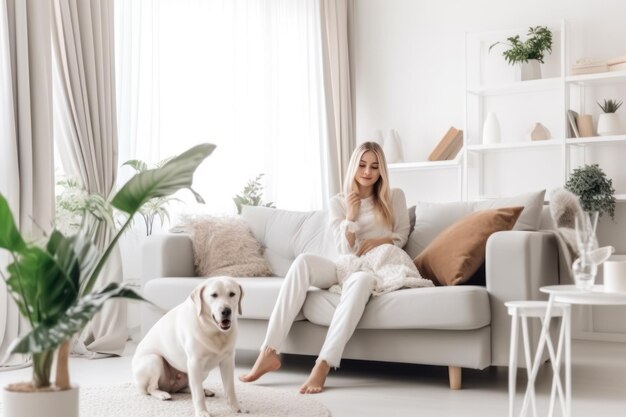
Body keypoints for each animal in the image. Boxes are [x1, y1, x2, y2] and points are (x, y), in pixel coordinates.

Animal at [132, 276, 246, 416]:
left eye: (232, 294)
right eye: (214, 295)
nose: (226, 311)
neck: (213, 331)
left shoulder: (228, 360)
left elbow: (230, 388)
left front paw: (236, 407)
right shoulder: (195, 362)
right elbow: (198, 395)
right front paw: (202, 412)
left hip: (203, 372)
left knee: (188, 387)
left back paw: (204, 390)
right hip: (153, 360)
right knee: (151, 388)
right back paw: (162, 394)